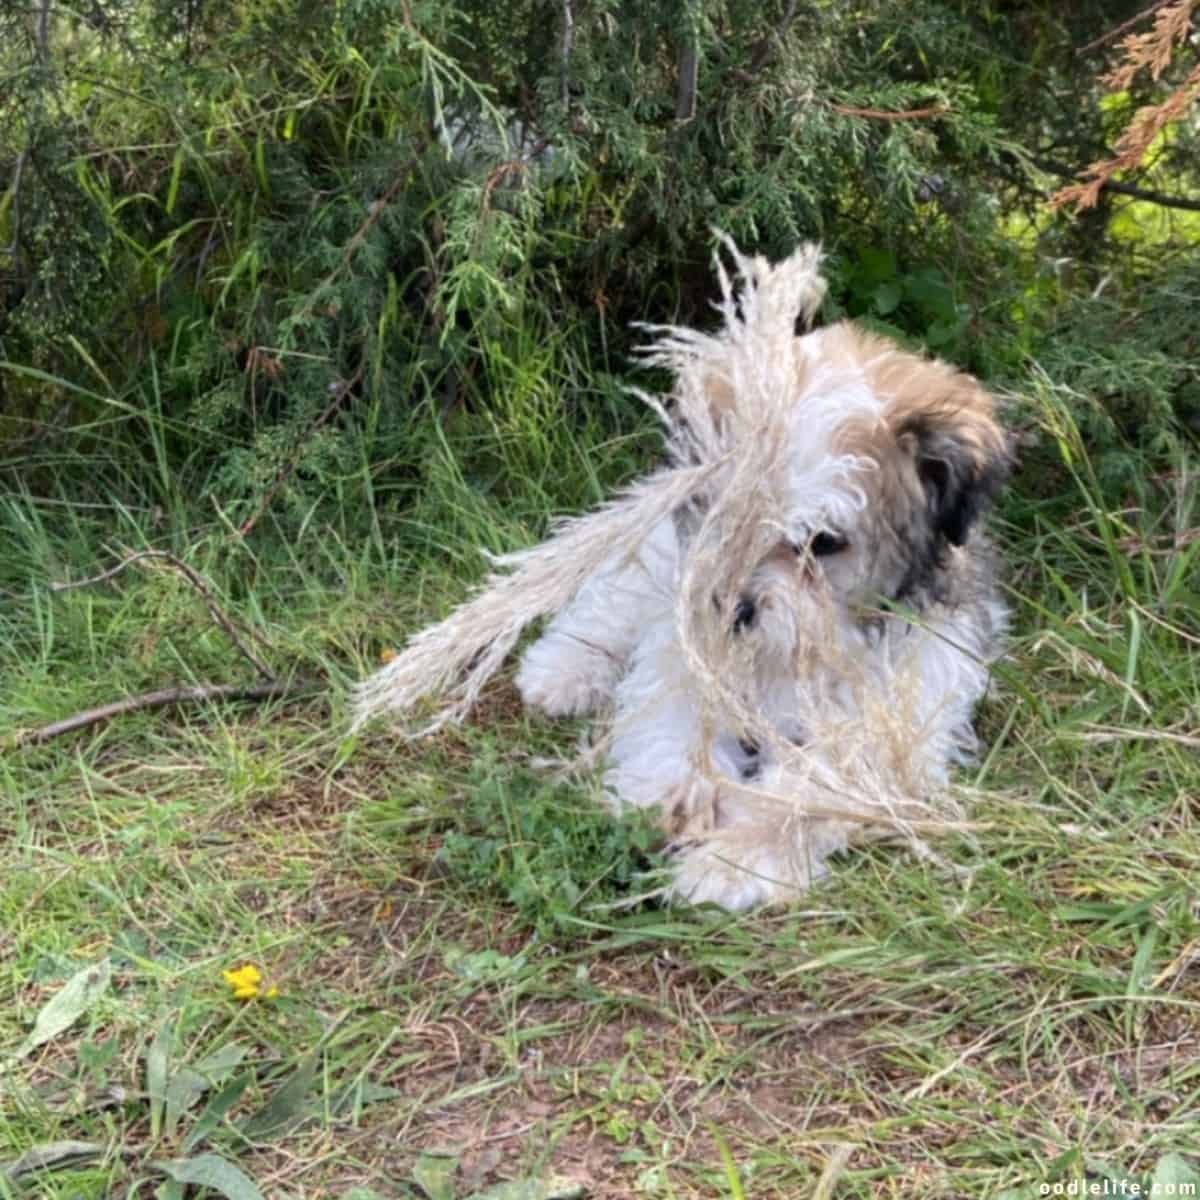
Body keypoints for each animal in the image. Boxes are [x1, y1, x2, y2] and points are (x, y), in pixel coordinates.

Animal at [355, 236, 1012, 907]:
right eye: (722, 511)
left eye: (823, 543)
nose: (731, 607)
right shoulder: (686, 640)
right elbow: (673, 715)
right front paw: (667, 795)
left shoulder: (897, 717)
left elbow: (814, 787)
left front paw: (737, 857)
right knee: (605, 603)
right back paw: (563, 670)